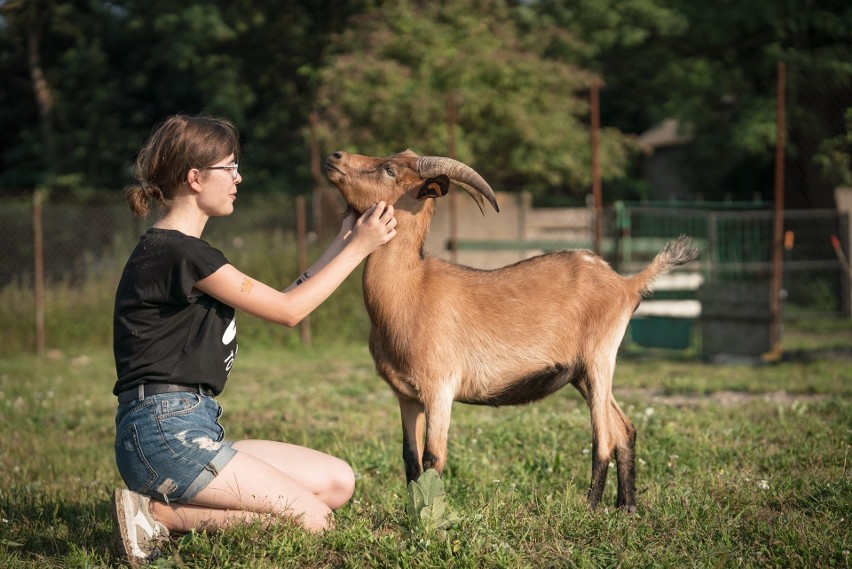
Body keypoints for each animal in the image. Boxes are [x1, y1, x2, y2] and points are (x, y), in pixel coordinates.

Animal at [322, 148, 696, 510]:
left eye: (390, 169)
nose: (335, 157)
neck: (410, 290)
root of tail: (626, 284)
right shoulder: (406, 395)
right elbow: (410, 460)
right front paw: (412, 515)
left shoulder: (439, 388)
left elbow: (433, 458)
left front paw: (430, 517)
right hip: (581, 373)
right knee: (624, 428)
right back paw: (626, 507)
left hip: (600, 357)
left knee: (603, 437)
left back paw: (590, 508)